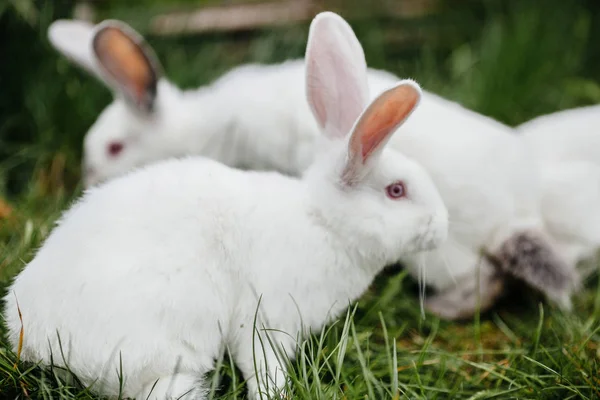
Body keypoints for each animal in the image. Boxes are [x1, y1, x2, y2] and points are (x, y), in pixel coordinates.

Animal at [3, 12, 446, 400]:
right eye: (396, 191)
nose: (441, 226)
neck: (323, 222)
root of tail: (38, 345)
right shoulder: (265, 322)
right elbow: (262, 365)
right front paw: (276, 394)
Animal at [49, 16, 580, 322]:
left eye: (114, 148)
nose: (86, 184)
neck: (210, 125)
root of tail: (521, 212)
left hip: (438, 254)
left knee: (484, 281)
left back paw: (437, 310)